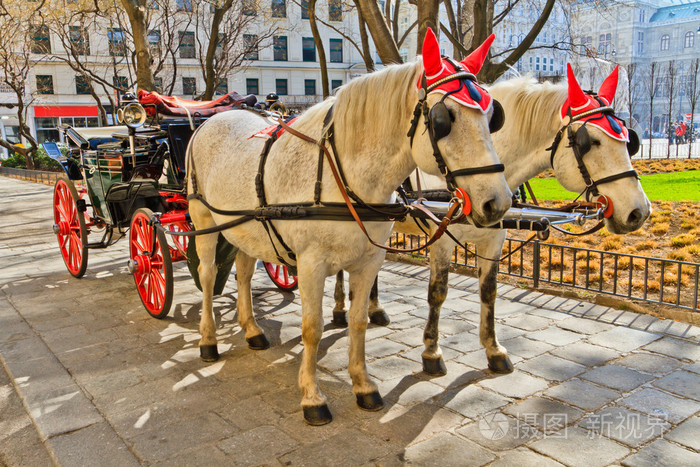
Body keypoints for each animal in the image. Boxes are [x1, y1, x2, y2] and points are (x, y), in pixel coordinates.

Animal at [186, 29, 513, 425]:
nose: (498, 202)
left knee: (244, 273)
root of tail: (214, 118)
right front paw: (312, 396)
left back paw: (251, 330)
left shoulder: (369, 260)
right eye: (442, 119)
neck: (344, 176)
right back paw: (208, 340)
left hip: (246, 227)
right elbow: (312, 328)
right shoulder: (311, 264)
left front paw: (363, 385)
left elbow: (358, 321)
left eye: (493, 117)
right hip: (203, 219)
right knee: (207, 276)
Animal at [333, 64, 651, 376]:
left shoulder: (495, 237)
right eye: (591, 141)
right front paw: (432, 352)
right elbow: (438, 292)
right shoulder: (442, 239)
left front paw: (493, 350)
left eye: (629, 141)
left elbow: (489, 291)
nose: (639, 211)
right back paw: (339, 310)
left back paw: (374, 309)